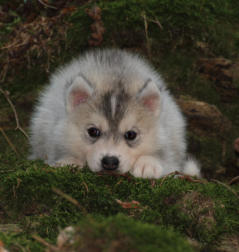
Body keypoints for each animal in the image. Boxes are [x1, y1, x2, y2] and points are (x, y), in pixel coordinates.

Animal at [29, 49, 201, 178]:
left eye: (131, 135)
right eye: (93, 131)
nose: (110, 162)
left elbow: (164, 157)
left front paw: (147, 164)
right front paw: (68, 161)